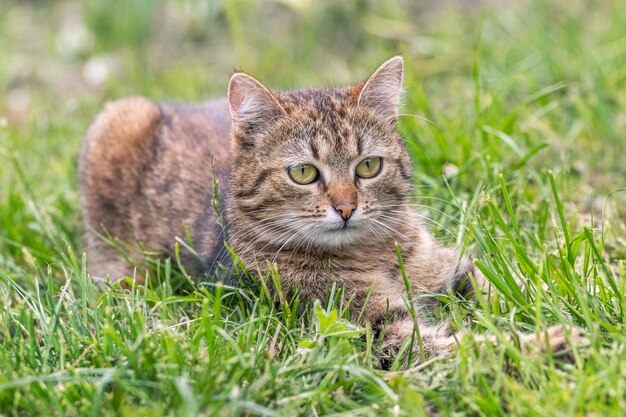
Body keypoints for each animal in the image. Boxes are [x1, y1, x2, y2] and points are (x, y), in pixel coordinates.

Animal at [79, 56, 584, 364]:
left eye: (368, 166)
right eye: (304, 172)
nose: (346, 207)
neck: (373, 253)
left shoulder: (451, 267)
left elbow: (506, 285)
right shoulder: (374, 330)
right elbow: (470, 349)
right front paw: (550, 342)